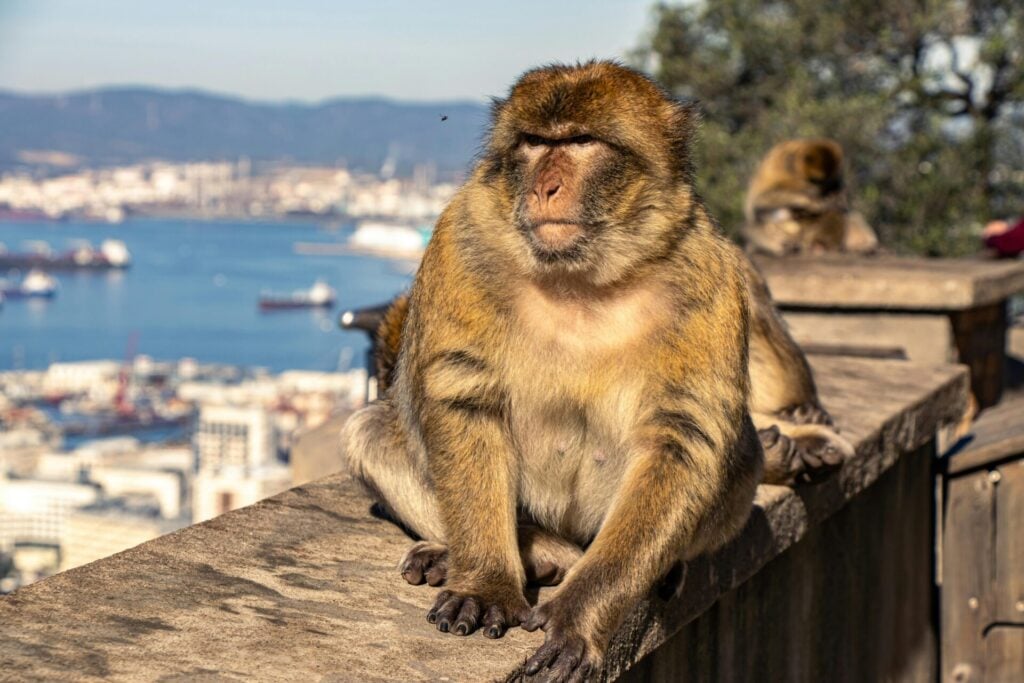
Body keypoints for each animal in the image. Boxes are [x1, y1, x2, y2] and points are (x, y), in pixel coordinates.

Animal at [341, 62, 848, 682]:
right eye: (535, 143)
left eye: (581, 142)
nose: (544, 187)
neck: (583, 272)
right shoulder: (463, 235)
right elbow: (464, 397)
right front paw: (486, 582)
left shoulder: (711, 269)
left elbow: (684, 440)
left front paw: (581, 615)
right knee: (369, 431)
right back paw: (531, 554)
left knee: (737, 456)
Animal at [742, 138, 879, 256]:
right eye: (815, 180)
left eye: (825, 182)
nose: (818, 190)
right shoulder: (780, 163)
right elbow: (759, 201)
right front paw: (813, 202)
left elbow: (841, 201)